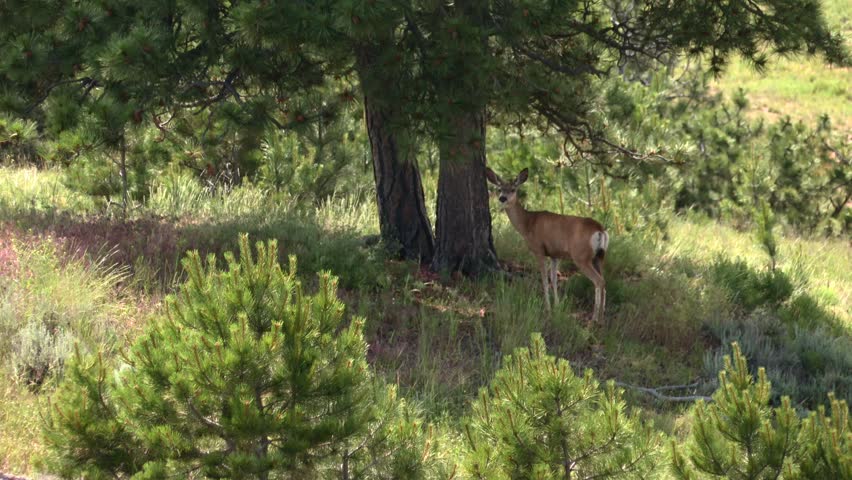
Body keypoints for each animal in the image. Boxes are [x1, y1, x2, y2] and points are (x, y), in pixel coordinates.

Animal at [485, 167, 609, 322]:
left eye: (513, 189)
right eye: (500, 189)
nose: (502, 198)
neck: (527, 224)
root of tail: (600, 230)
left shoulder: (539, 249)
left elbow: (544, 279)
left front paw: (548, 308)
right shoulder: (554, 254)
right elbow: (554, 279)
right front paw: (557, 305)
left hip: (581, 256)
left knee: (599, 281)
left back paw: (595, 317)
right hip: (599, 257)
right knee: (604, 281)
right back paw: (602, 314)